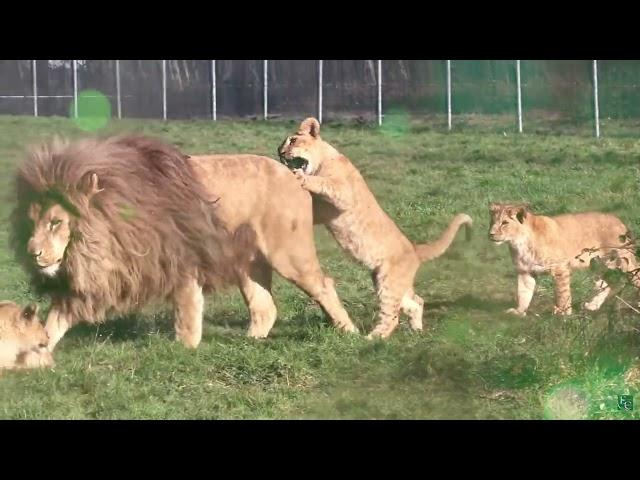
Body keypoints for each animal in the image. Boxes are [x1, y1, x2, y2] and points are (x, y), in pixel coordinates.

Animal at [12, 135, 358, 352]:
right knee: (264, 307)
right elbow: (53, 322)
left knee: (324, 285)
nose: (32, 254)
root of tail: (293, 175)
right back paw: (249, 342)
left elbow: (187, 314)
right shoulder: (89, 280)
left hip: (288, 253)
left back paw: (351, 334)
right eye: (31, 222)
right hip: (246, 261)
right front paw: (34, 353)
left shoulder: (181, 259)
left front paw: (185, 350)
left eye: (56, 222)